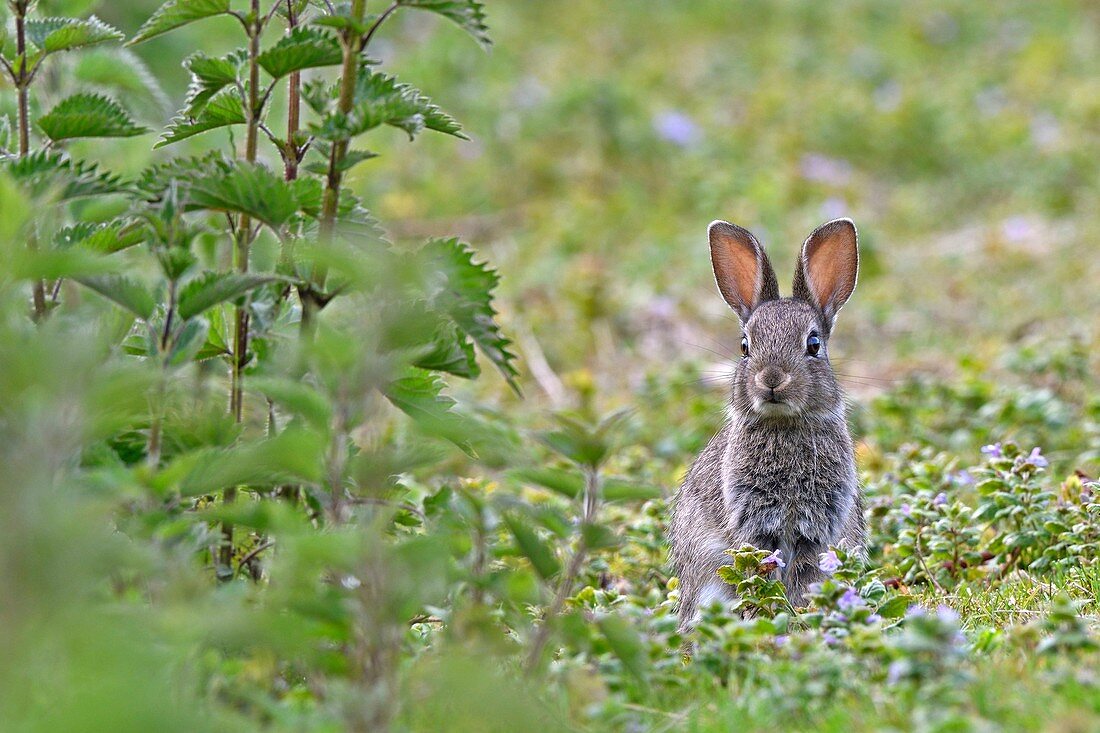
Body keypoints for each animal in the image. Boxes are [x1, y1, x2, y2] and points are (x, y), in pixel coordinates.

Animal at [668, 215, 866, 629]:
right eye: (744, 347)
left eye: (813, 344)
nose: (771, 379)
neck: (783, 426)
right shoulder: (754, 526)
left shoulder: (815, 528)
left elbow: (804, 572)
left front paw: (800, 612)